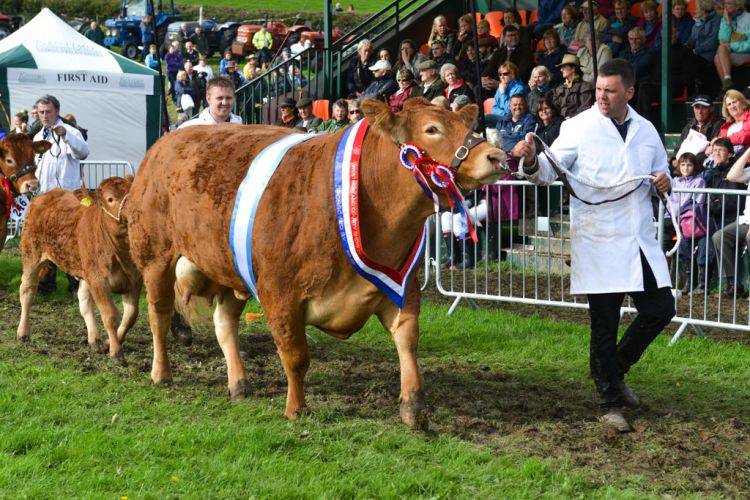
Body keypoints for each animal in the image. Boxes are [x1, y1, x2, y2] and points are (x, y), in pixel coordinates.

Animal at [16, 177, 141, 364]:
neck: (120, 252)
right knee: (27, 291)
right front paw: (116, 352)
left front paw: (108, 343)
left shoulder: (134, 280)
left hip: (83, 270)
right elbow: (111, 316)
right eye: (110, 199)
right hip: (31, 255)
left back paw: (95, 340)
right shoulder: (98, 281)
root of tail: (47, 194)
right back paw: (23, 333)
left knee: (84, 301)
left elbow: (130, 317)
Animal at [126, 97, 508, 426]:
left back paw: (239, 384)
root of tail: (165, 142)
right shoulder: (279, 292)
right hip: (155, 256)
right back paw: (161, 373)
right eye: (432, 129)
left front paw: (413, 408)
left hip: (229, 269)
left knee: (224, 323)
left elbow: (408, 342)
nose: (497, 156)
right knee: (159, 315)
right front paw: (296, 409)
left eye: (465, 123)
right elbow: (296, 355)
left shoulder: (401, 286)